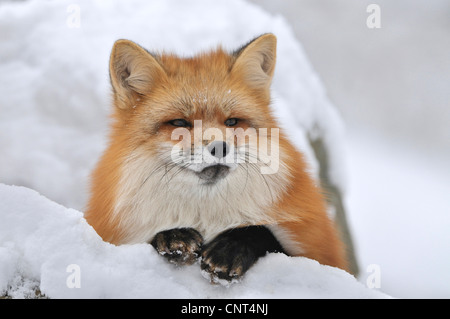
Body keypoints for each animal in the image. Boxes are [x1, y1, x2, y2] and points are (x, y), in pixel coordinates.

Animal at [84, 33, 348, 284]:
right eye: (179, 123)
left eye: (232, 122)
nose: (220, 147)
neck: (206, 216)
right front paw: (173, 236)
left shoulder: (319, 252)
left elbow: (263, 233)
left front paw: (232, 249)